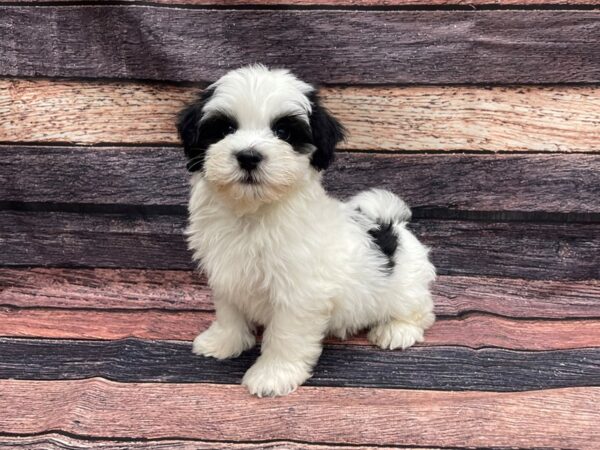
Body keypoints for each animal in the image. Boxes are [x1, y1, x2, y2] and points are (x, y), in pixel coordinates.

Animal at [176, 64, 434, 398]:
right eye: (224, 129)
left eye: (283, 132)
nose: (248, 156)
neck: (254, 213)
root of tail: (392, 223)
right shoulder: (226, 272)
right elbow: (229, 310)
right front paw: (223, 341)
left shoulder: (300, 292)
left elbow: (285, 334)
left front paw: (272, 375)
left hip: (405, 286)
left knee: (419, 310)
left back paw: (397, 330)